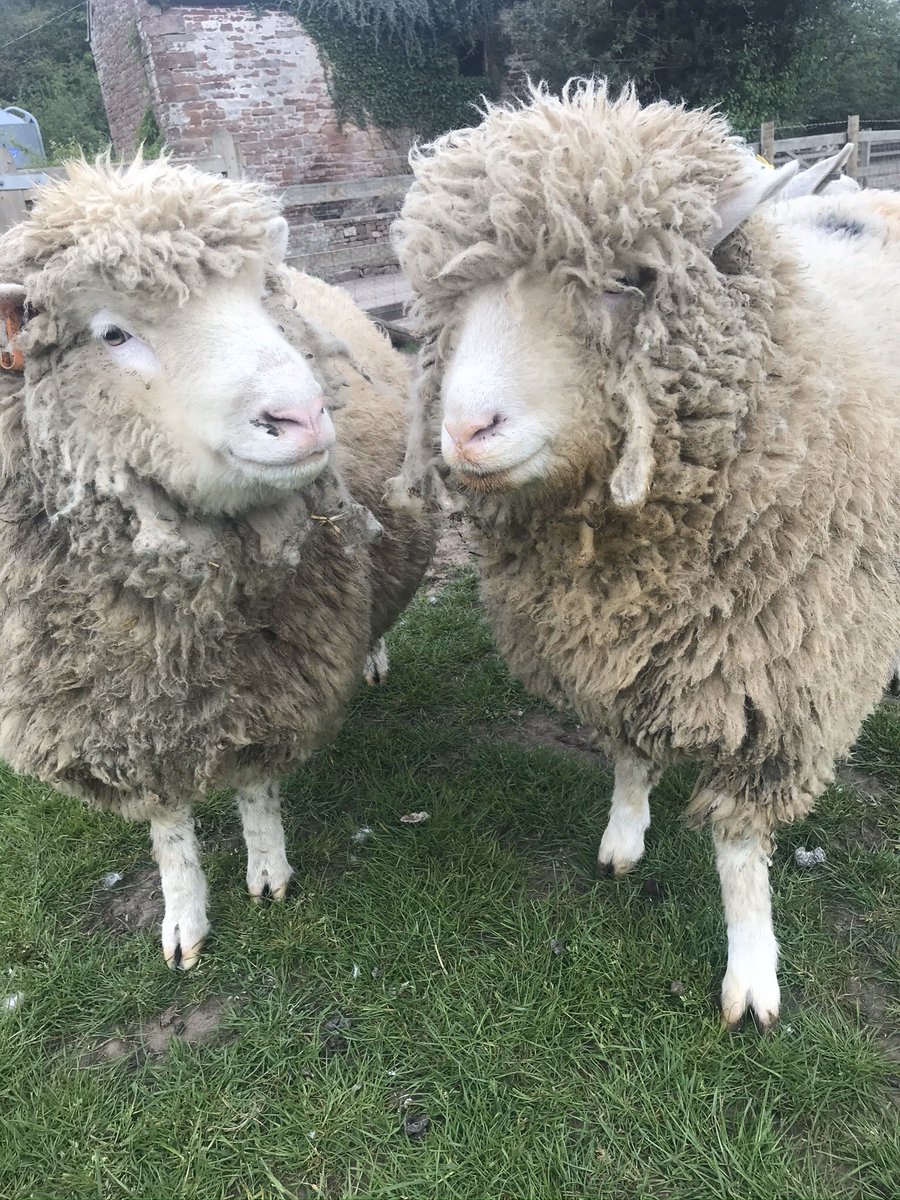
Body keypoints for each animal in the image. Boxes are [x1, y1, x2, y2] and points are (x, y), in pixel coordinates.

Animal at [0, 157, 435, 969]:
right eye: (112, 332)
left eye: (262, 305)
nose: (302, 416)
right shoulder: (118, 714)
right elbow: (168, 825)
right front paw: (184, 916)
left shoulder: (276, 675)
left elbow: (256, 787)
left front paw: (268, 872)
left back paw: (375, 656)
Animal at [389, 83, 900, 1030]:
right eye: (447, 302)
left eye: (630, 280)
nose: (466, 429)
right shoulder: (617, 650)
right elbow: (629, 754)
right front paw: (623, 837)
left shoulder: (786, 685)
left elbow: (738, 845)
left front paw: (752, 969)